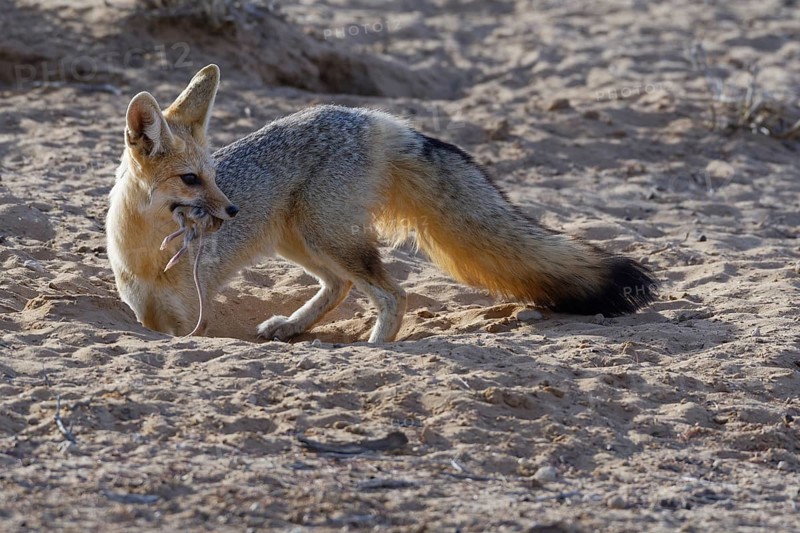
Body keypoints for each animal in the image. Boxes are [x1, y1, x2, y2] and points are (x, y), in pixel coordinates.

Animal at [106, 64, 658, 343]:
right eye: (191, 179)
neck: (147, 256)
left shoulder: (186, 321)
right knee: (342, 286)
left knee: (392, 293)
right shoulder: (147, 315)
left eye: (215, 177)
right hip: (302, 240)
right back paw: (293, 326)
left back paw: (375, 347)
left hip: (325, 237)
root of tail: (374, 117)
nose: (234, 210)